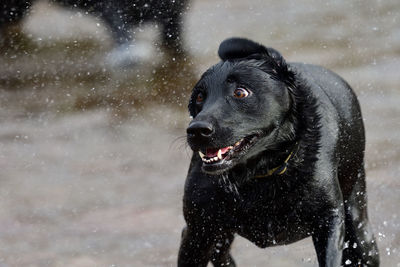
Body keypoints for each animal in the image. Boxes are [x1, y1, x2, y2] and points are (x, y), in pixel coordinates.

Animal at [180, 38, 380, 267]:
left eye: (240, 92)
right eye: (199, 97)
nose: (197, 130)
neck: (259, 174)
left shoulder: (329, 221)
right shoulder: (198, 231)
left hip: (360, 231)